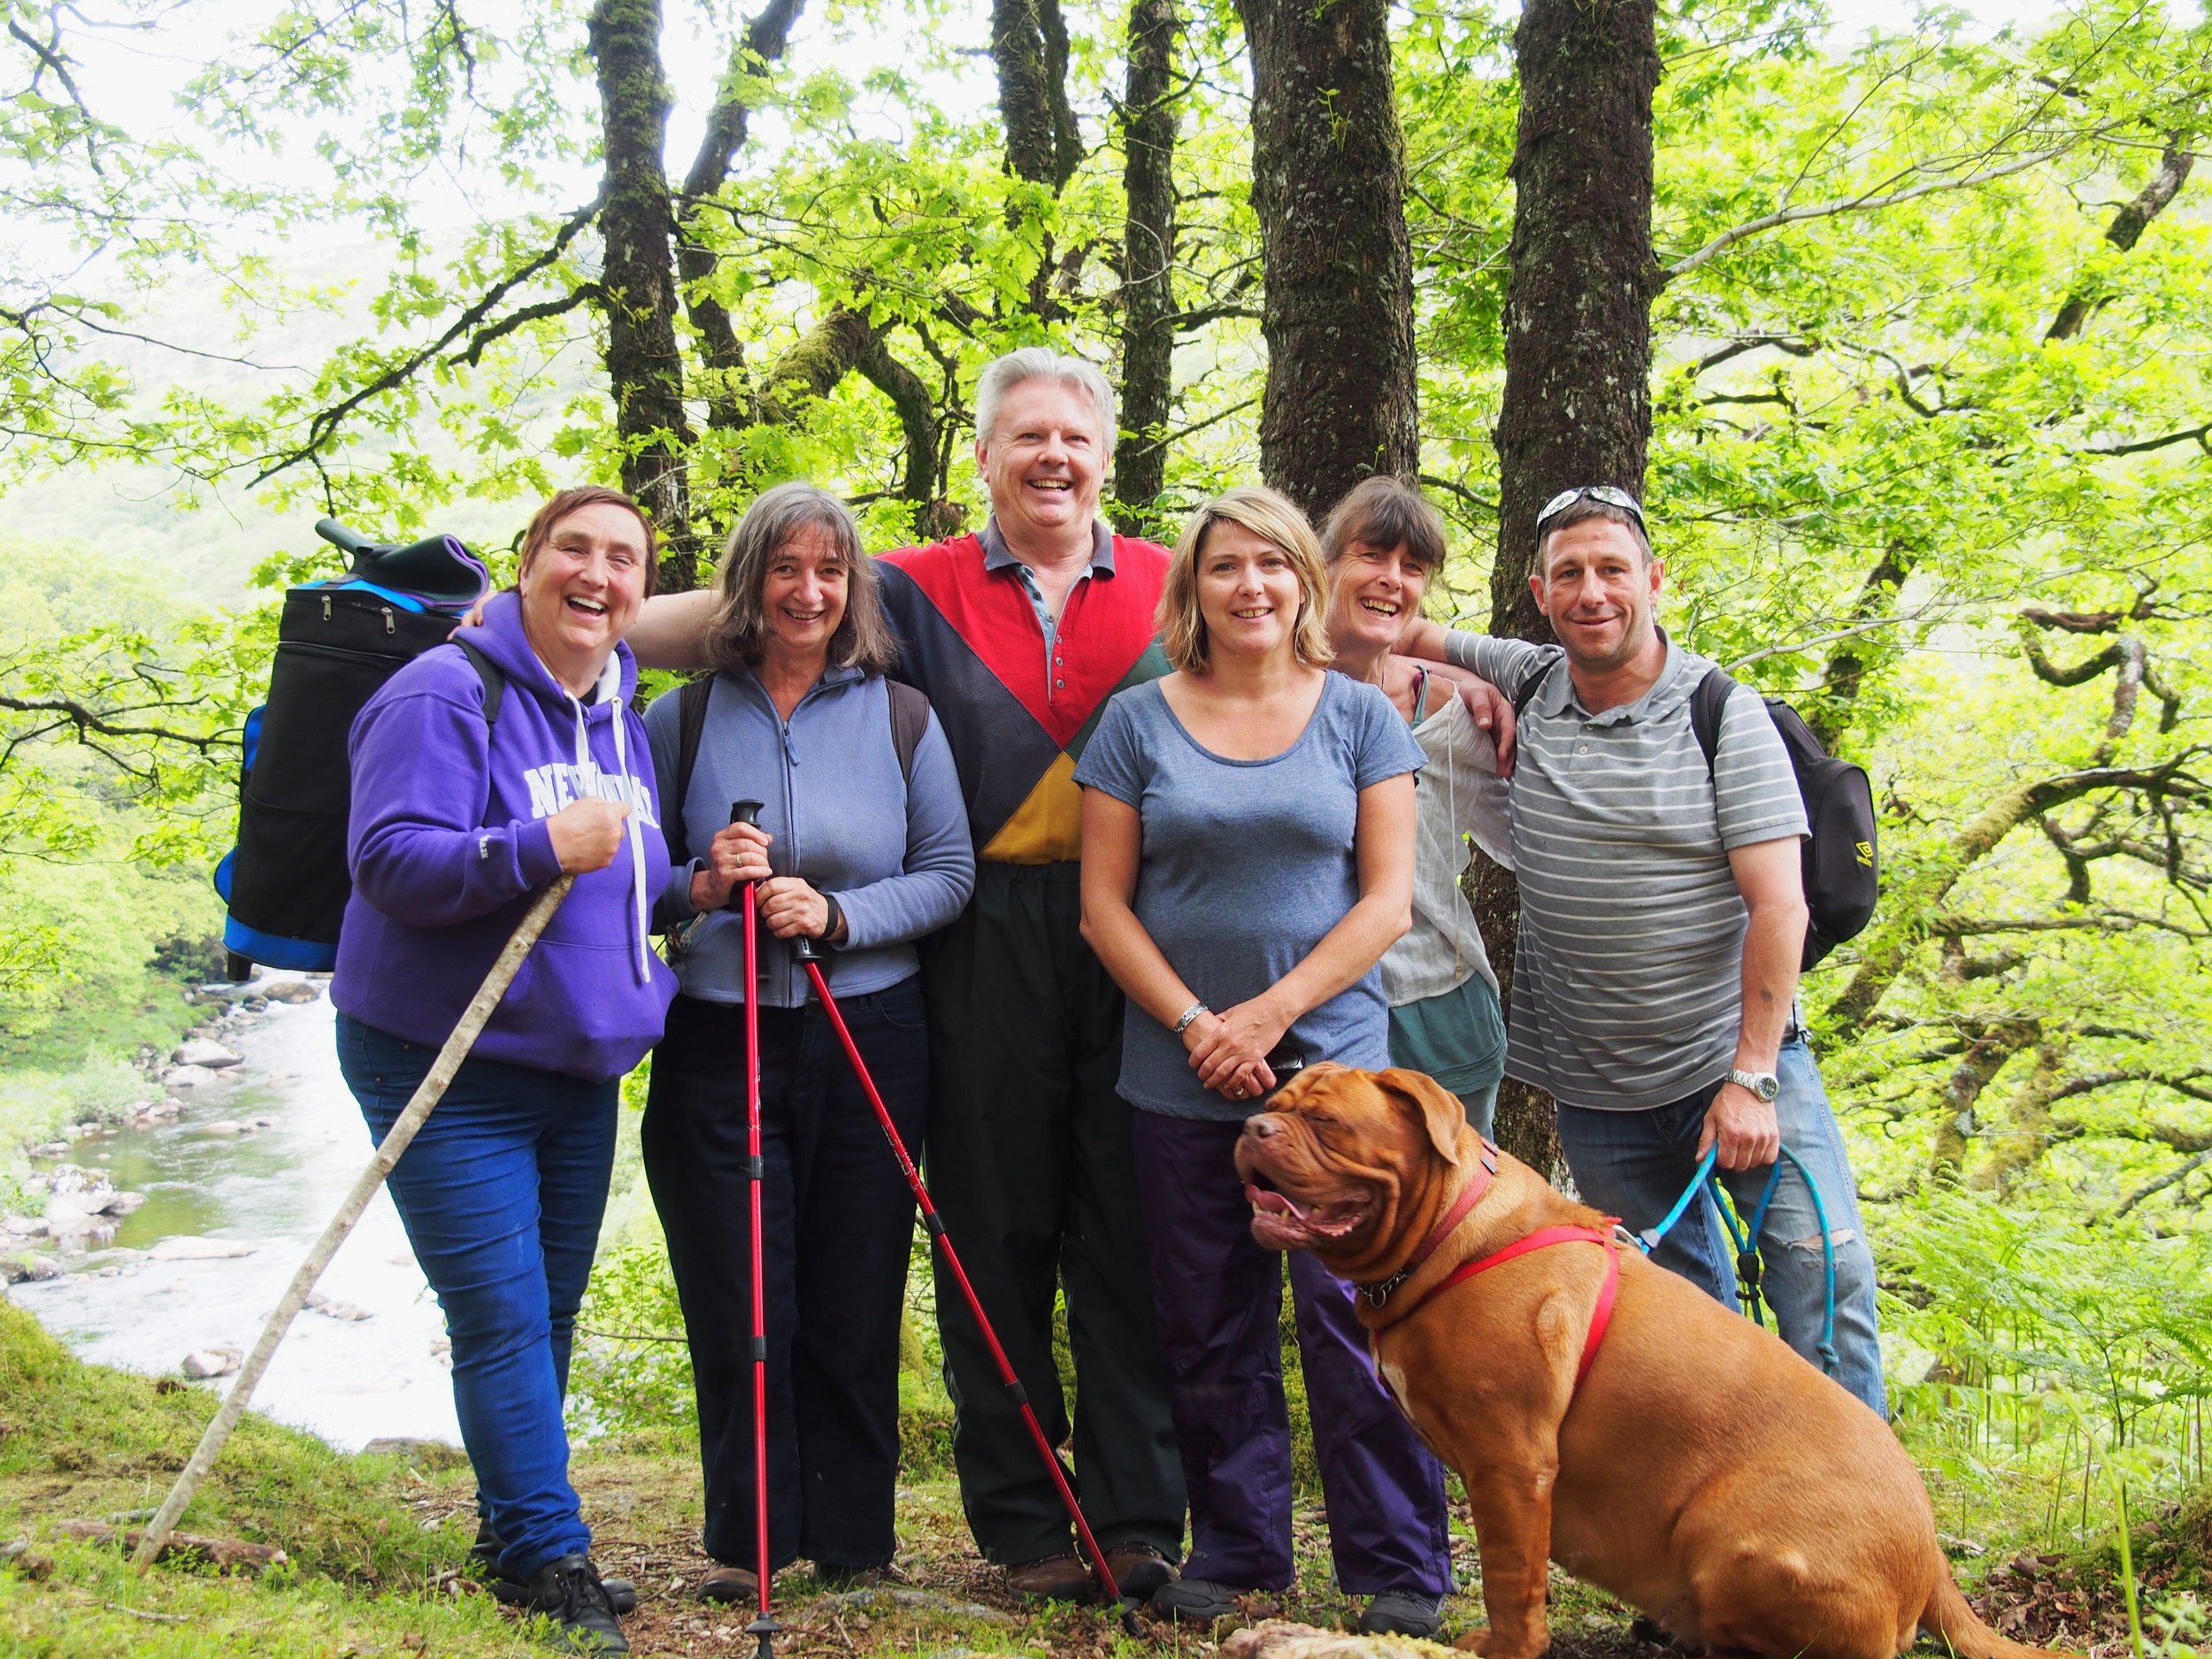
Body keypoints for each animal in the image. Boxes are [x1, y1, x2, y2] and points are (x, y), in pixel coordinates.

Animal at [1239, 1066, 2062, 1659]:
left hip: (1726, 1534)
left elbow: (1511, 1575)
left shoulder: (1512, 1462)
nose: (1251, 1125)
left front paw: (1507, 1647)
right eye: (1274, 1102)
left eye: (1326, 1122)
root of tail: (1932, 1559)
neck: (1447, 1229)